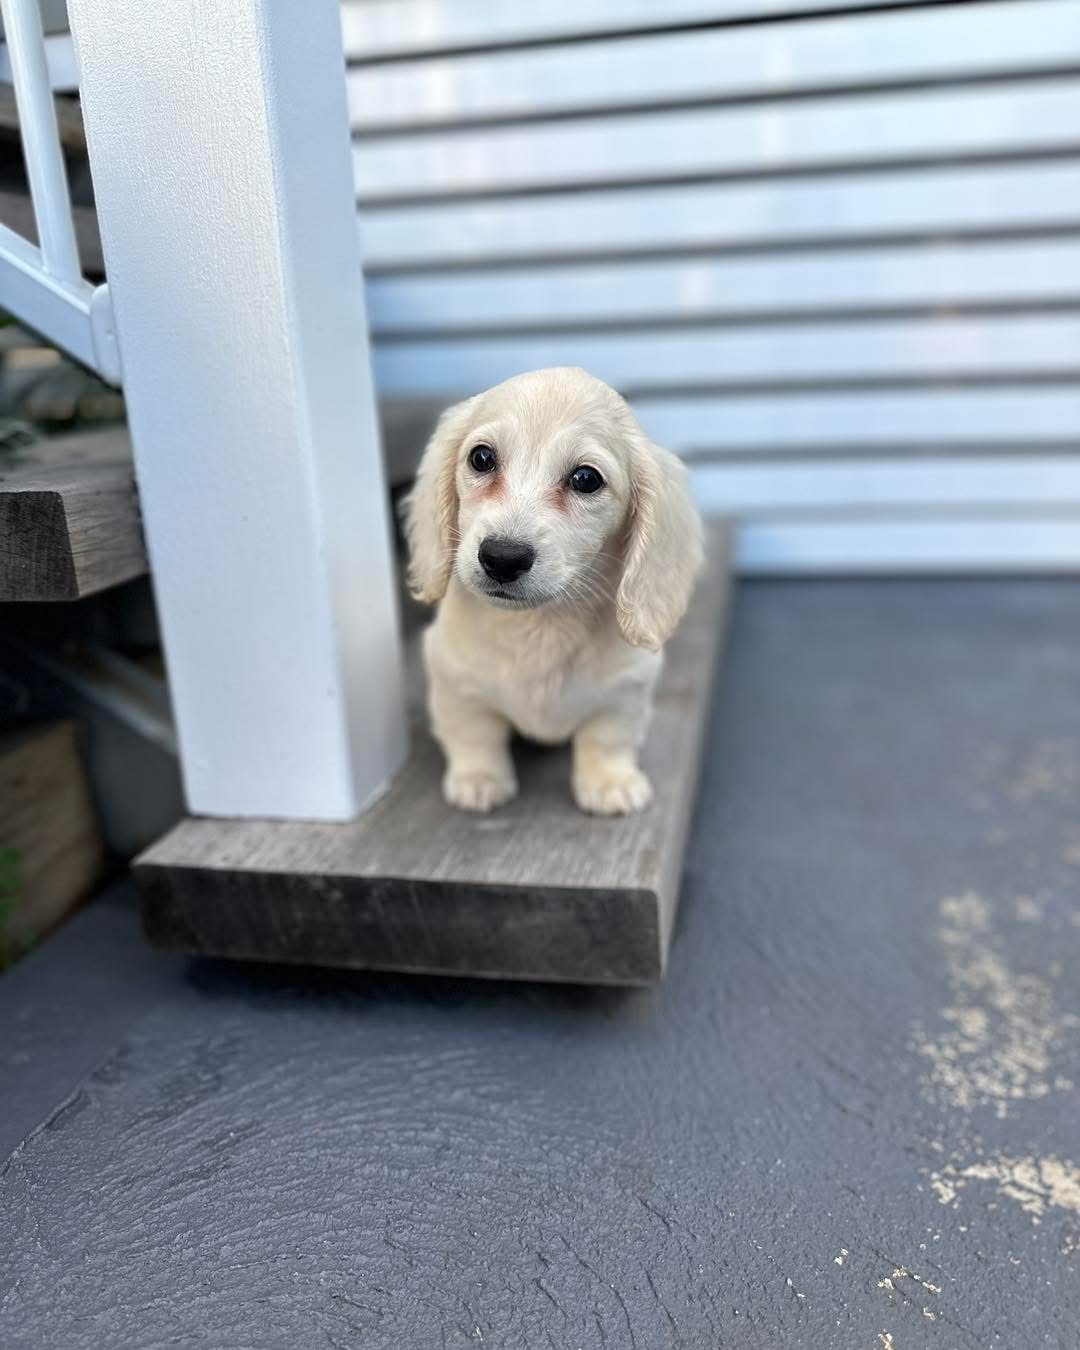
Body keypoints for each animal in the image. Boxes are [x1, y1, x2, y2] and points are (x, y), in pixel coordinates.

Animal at [404, 367, 703, 815]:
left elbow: (608, 738)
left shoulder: (626, 690)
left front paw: (610, 782)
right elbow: (473, 734)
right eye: (481, 458)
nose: (502, 557)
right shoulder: (454, 680)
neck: (539, 626)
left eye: (585, 479)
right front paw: (479, 779)